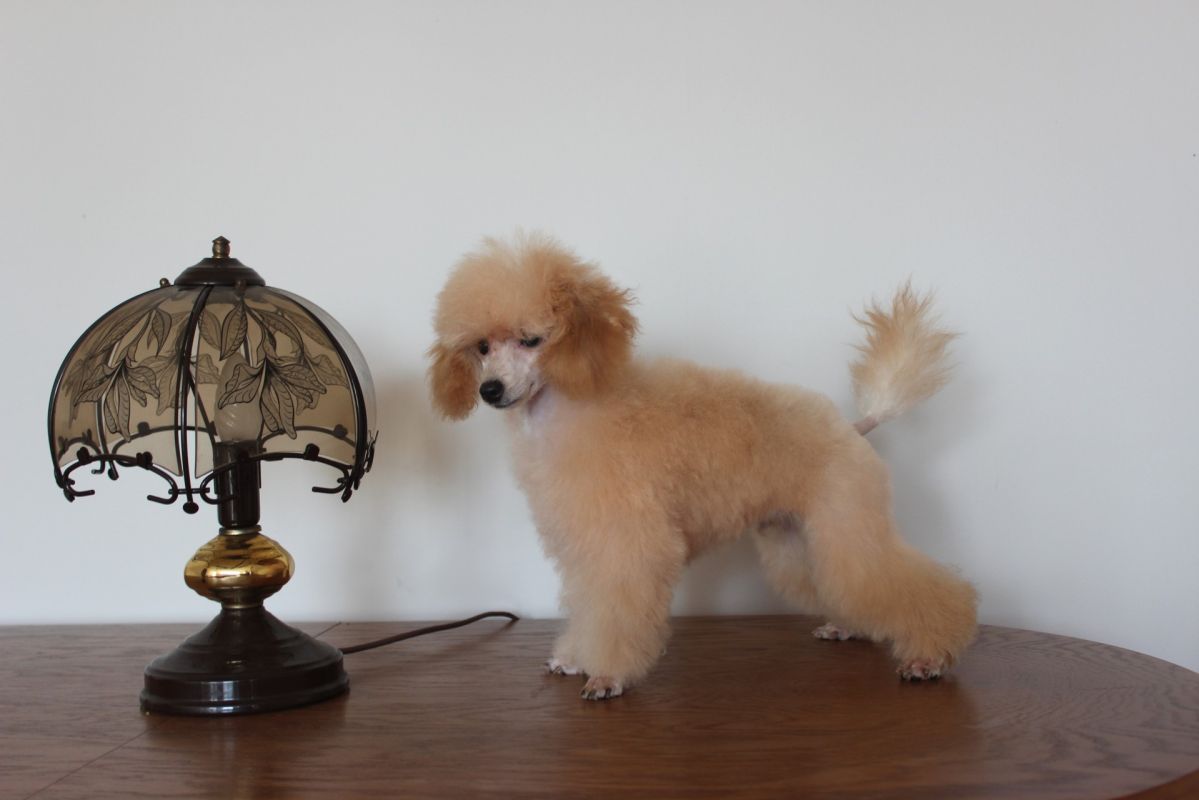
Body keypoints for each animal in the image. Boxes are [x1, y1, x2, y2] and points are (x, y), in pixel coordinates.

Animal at [428, 233, 977, 700]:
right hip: (799, 538)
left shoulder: (628, 542)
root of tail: (854, 427)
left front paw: (607, 675)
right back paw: (847, 626)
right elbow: (588, 605)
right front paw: (575, 658)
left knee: (910, 585)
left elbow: (616, 609)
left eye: (531, 339)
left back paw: (929, 658)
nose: (490, 390)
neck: (572, 408)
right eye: (481, 347)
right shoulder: (585, 543)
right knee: (846, 589)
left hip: (846, 522)